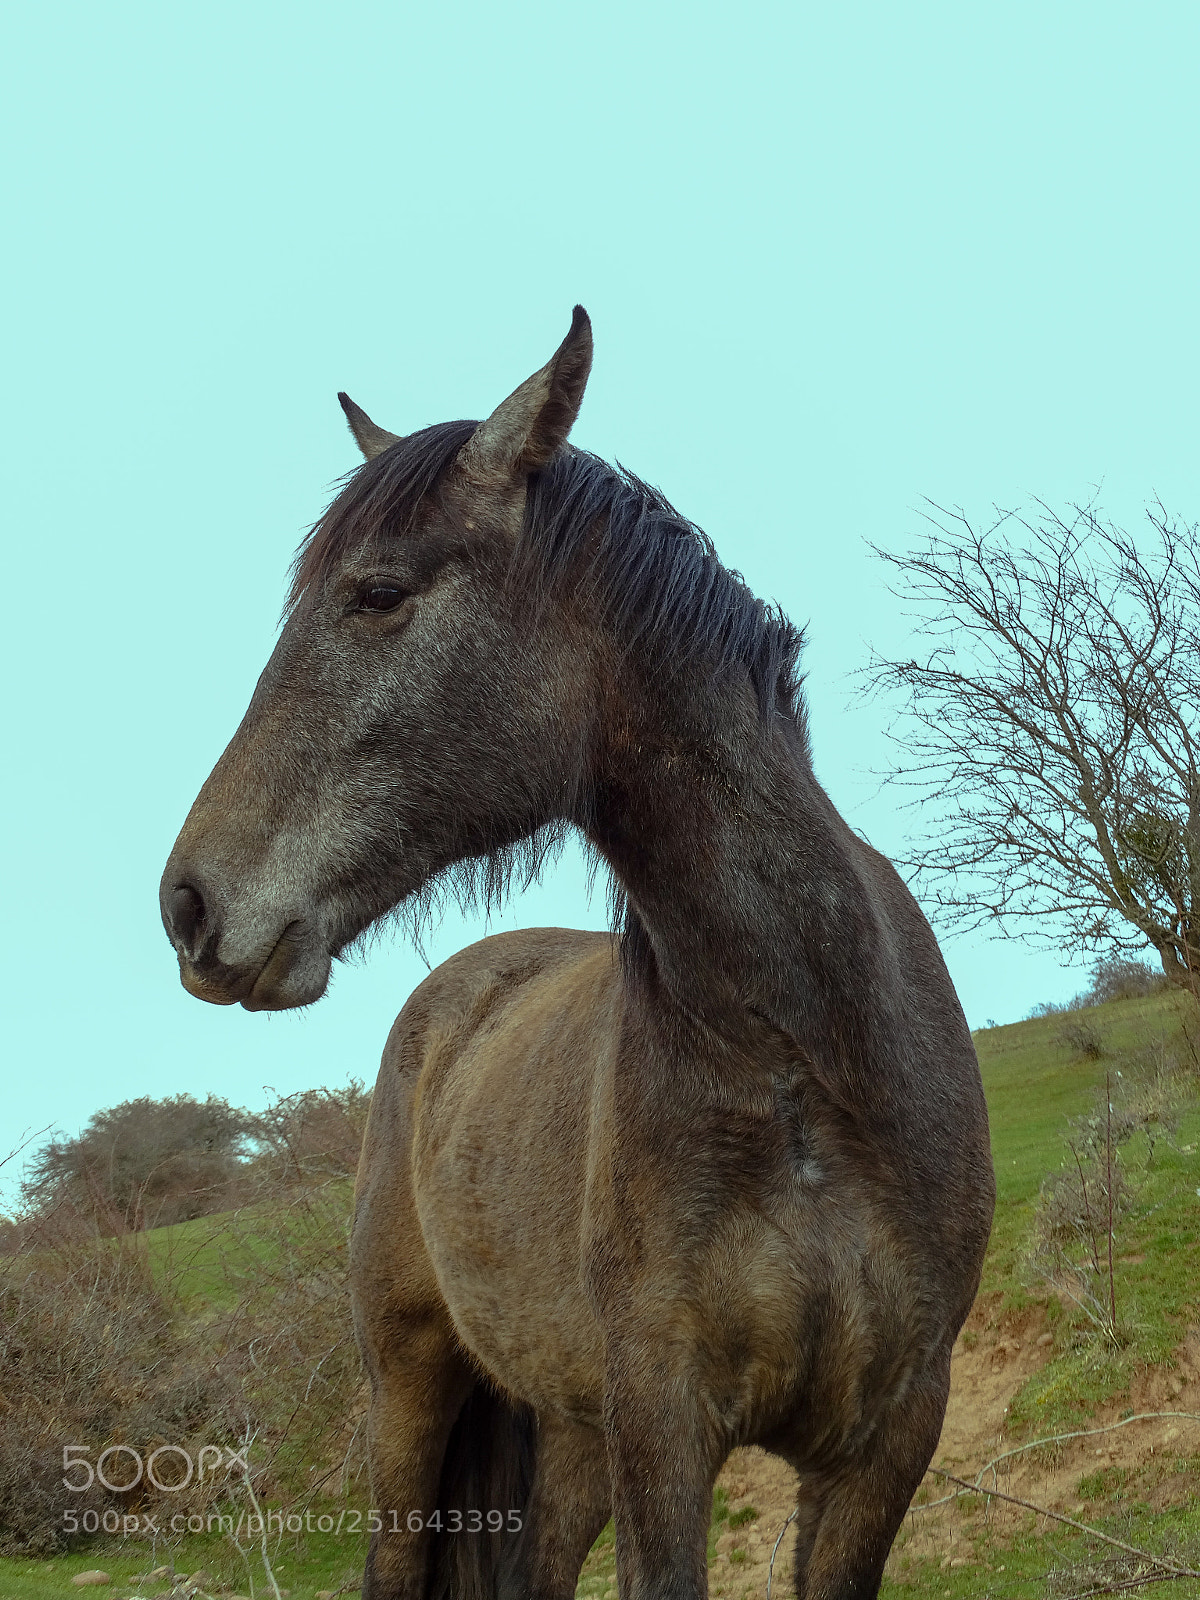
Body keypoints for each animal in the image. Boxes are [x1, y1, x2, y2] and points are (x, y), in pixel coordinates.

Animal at [160, 307, 994, 1600]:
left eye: (378, 592)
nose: (190, 904)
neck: (808, 1064)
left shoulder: (887, 1437)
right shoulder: (663, 1418)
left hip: (570, 1430)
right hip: (414, 1389)